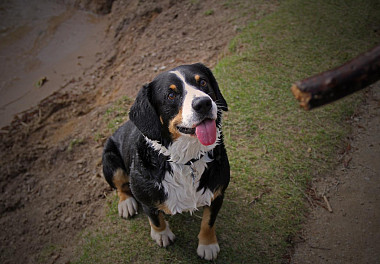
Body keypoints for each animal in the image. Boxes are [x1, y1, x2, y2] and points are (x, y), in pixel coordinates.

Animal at [102, 62, 230, 260]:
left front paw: (207, 245)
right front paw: (162, 235)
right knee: (121, 186)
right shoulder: (146, 197)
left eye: (202, 82)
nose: (204, 103)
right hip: (109, 159)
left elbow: (208, 222)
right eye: (171, 95)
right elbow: (155, 218)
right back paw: (126, 204)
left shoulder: (217, 192)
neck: (187, 160)